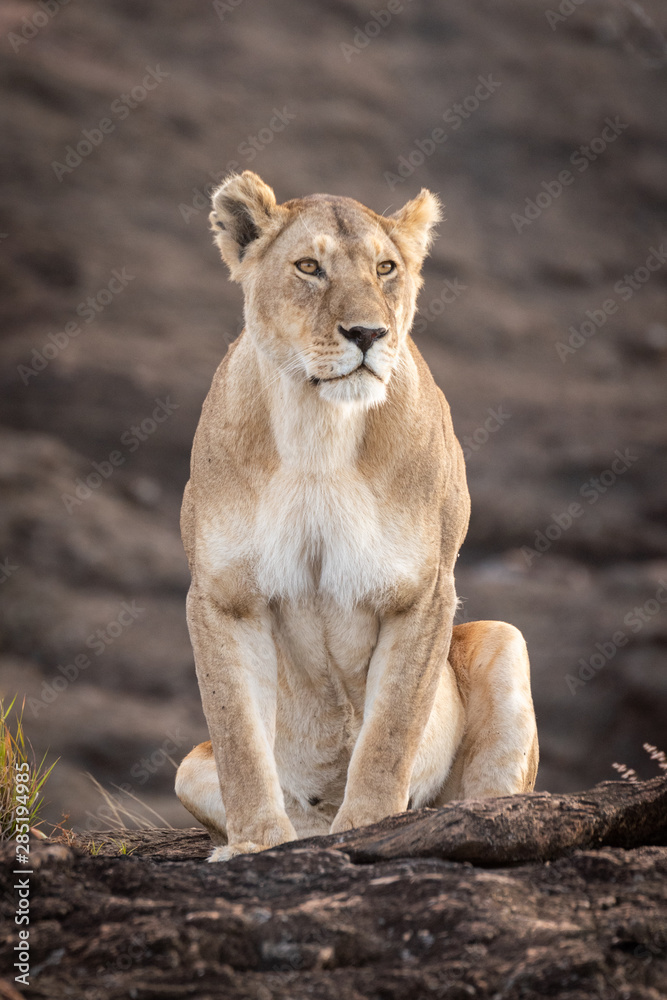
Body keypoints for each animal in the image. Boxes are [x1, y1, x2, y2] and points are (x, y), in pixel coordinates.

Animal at [175, 171, 538, 861]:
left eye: (385, 268)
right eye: (309, 267)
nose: (368, 334)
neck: (318, 432)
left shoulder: (422, 591)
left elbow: (389, 732)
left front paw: (369, 826)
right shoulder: (222, 595)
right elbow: (239, 738)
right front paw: (254, 843)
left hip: (506, 640)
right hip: (188, 768)